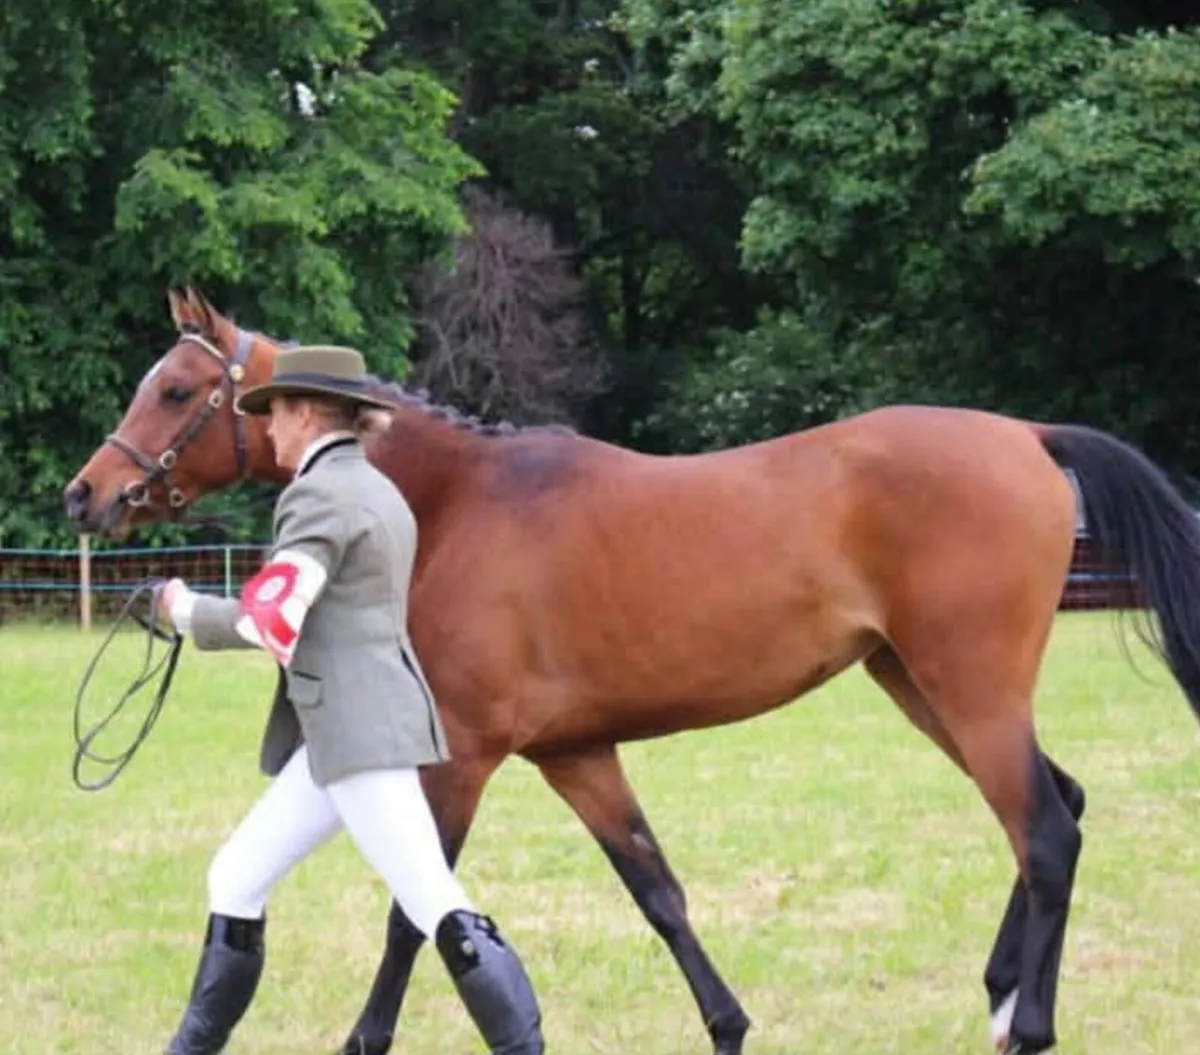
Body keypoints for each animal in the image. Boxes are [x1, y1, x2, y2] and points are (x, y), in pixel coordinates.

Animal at [64, 287, 1200, 1055]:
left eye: (175, 388)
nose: (88, 494)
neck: (454, 502)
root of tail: (1027, 436)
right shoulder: (577, 752)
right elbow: (657, 889)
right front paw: (728, 1023)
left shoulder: (461, 756)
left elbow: (416, 913)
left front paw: (363, 1038)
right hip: (920, 686)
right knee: (1059, 804)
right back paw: (1002, 987)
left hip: (968, 685)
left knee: (1044, 830)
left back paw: (1028, 1020)